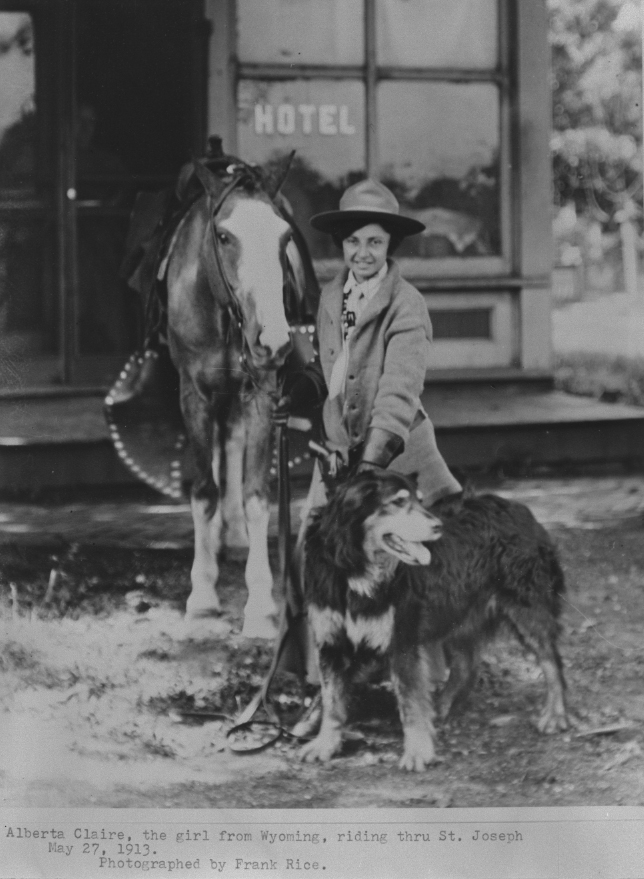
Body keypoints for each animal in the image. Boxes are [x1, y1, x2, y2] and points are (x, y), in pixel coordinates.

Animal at [164, 155, 316, 640]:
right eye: (224, 236)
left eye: (284, 236)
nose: (274, 339)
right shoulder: (192, 392)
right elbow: (203, 491)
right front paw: (202, 598)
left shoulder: (262, 392)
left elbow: (255, 494)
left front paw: (261, 605)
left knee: (230, 440)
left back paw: (232, 535)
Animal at [302, 474, 568, 768]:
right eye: (398, 501)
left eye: (420, 499)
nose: (438, 526)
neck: (356, 568)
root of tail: (521, 509)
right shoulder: (331, 643)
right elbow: (332, 701)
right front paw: (326, 744)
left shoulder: (401, 640)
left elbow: (410, 702)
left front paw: (418, 751)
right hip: (458, 612)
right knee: (467, 665)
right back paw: (441, 707)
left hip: (526, 608)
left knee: (552, 661)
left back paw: (556, 715)